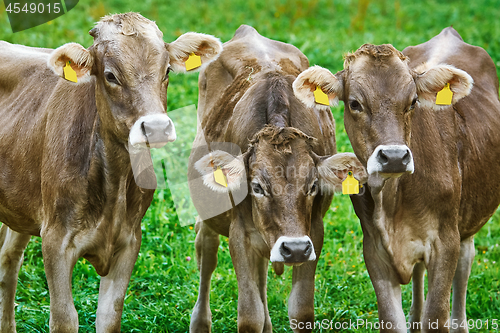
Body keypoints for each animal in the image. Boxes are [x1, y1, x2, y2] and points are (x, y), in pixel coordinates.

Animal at [0, 11, 223, 330]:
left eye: (167, 70)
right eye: (110, 76)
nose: (156, 127)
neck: (113, 186)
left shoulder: (129, 240)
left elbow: (109, 316)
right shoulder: (55, 240)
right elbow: (64, 317)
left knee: (9, 258)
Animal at [186, 25, 366, 332]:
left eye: (313, 186)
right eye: (257, 187)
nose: (293, 248)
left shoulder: (313, 233)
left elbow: (301, 311)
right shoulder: (240, 233)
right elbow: (249, 315)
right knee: (206, 250)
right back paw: (199, 322)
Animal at [292, 27, 500, 330]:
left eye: (413, 102)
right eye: (355, 103)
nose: (393, 157)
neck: (392, 200)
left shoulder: (445, 242)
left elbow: (436, 315)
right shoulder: (374, 249)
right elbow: (392, 319)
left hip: (466, 223)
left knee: (464, 264)